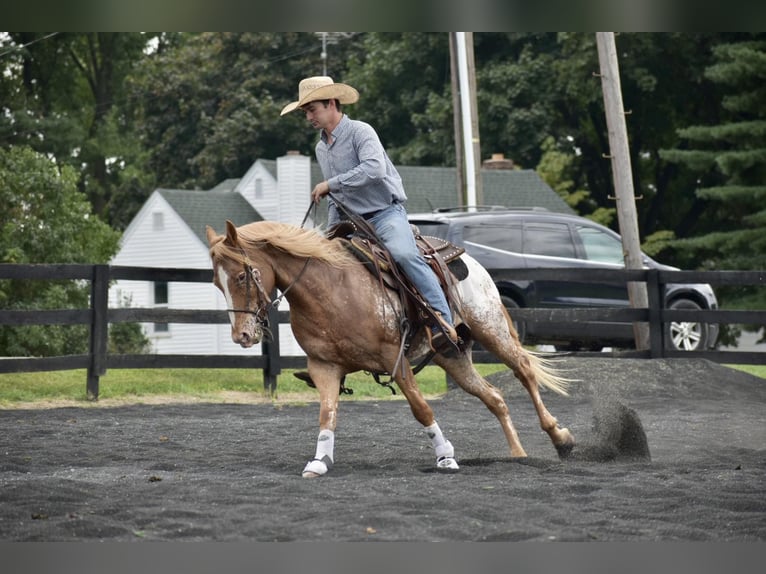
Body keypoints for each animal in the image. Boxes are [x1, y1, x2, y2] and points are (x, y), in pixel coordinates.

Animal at [206, 223, 576, 480]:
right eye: (215, 282)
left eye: (241, 276)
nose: (241, 335)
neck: (330, 288)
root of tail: (467, 258)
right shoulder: (324, 366)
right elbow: (327, 414)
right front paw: (319, 461)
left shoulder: (394, 359)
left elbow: (422, 409)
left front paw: (446, 456)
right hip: (452, 356)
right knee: (495, 397)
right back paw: (518, 453)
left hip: (492, 329)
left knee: (523, 370)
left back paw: (560, 438)